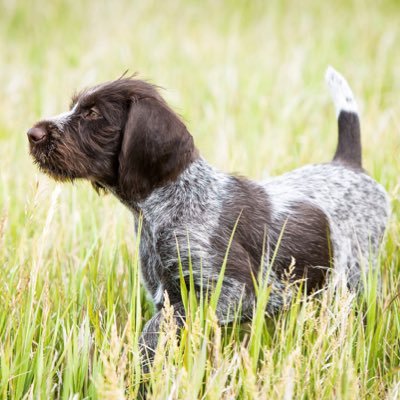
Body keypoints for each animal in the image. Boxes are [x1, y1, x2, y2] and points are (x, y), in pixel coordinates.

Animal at [27, 66, 388, 362]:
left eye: (93, 114)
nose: (32, 134)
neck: (165, 205)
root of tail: (347, 164)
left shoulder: (233, 291)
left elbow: (154, 329)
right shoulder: (167, 293)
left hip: (359, 275)